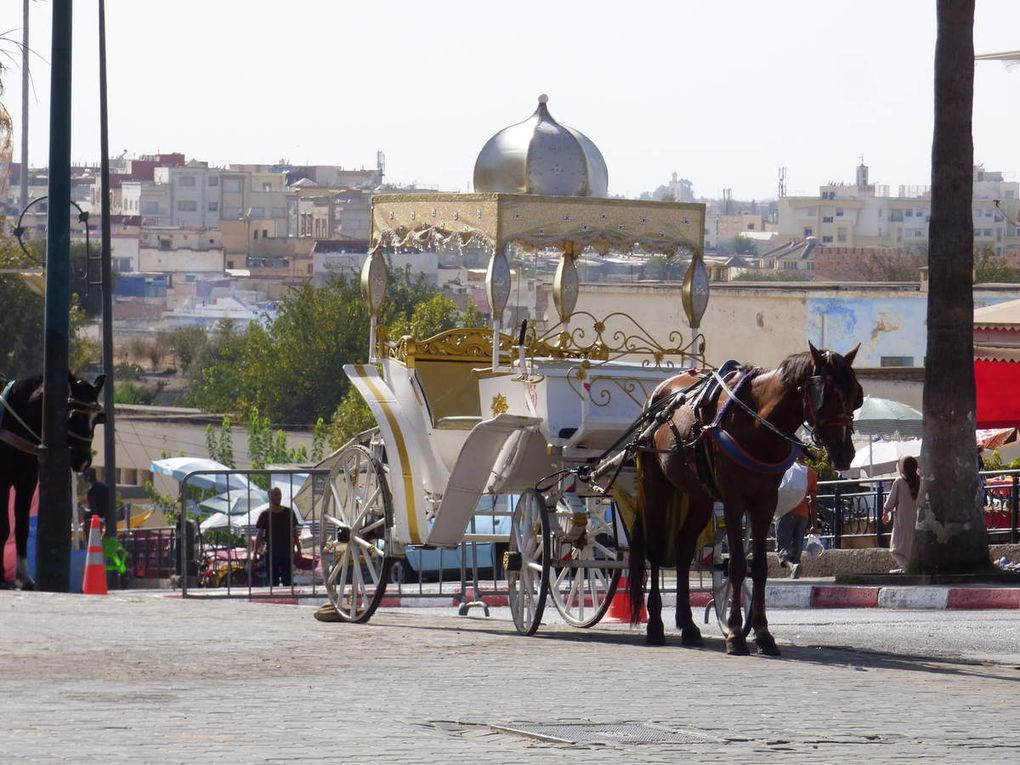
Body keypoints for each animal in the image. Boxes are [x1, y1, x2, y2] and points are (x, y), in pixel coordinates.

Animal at [1, 375, 104, 591]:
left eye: (96, 419)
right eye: (73, 414)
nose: (83, 460)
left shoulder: (27, 481)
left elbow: (22, 526)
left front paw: (24, 577)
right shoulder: (3, 481)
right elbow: (5, 527)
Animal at [628, 344, 860, 656]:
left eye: (855, 396)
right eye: (826, 396)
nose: (845, 453)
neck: (756, 424)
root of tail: (657, 395)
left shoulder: (765, 503)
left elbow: (759, 568)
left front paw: (762, 633)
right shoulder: (733, 500)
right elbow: (737, 565)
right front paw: (736, 633)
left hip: (699, 497)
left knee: (683, 549)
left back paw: (688, 625)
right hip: (656, 486)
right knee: (653, 550)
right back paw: (655, 625)